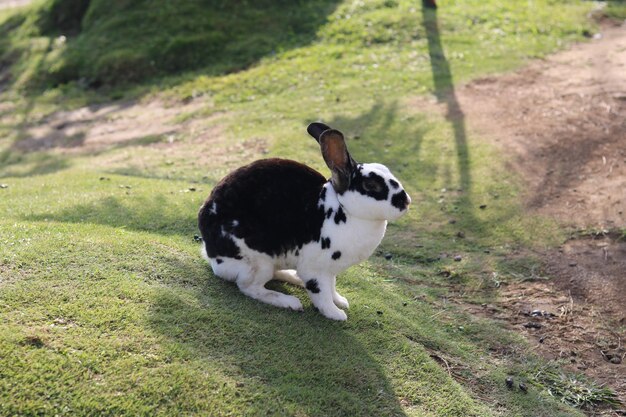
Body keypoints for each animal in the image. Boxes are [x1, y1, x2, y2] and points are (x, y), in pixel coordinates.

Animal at [199, 122, 410, 320]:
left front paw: (341, 301)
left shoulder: (331, 271)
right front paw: (335, 314)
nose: (406, 201)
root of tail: (211, 254)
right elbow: (321, 294)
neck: (345, 209)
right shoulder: (316, 270)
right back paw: (289, 301)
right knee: (249, 287)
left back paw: (294, 278)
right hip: (258, 262)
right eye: (371, 185)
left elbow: (332, 287)